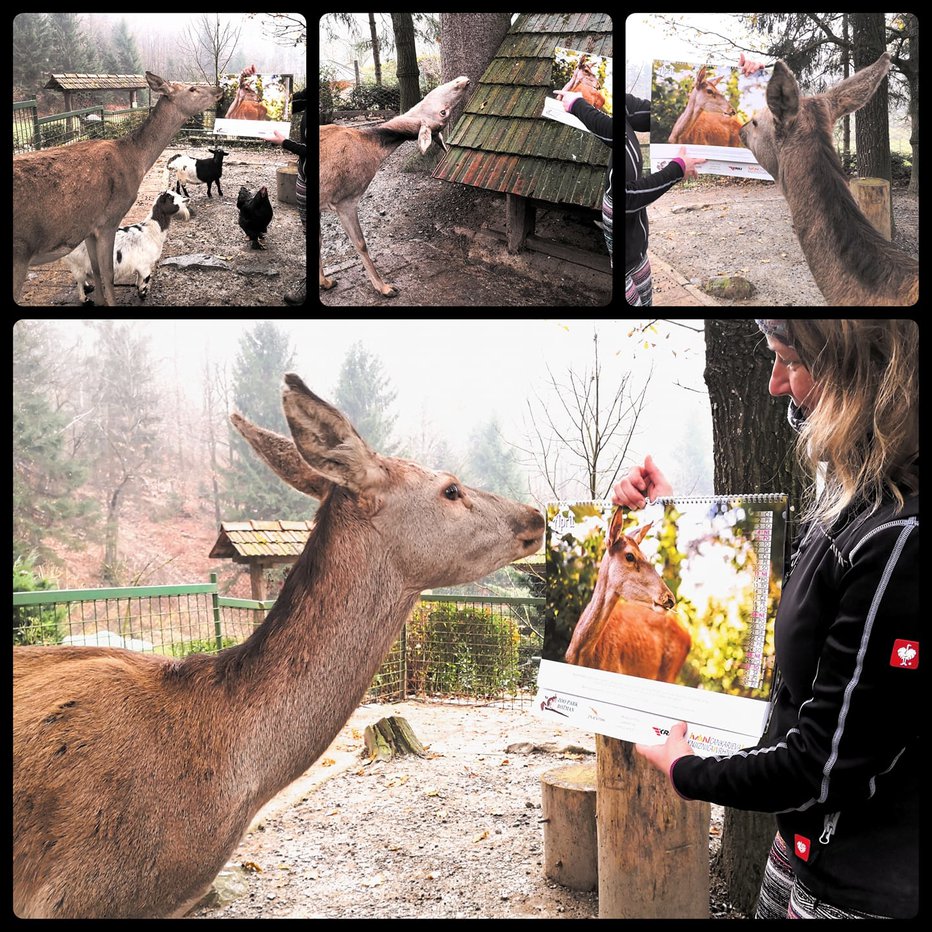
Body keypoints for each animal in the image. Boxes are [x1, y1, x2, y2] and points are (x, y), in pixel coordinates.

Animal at [62, 190, 191, 304]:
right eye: (170, 197)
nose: (186, 198)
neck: (151, 231)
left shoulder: (140, 265)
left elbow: (139, 279)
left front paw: (139, 289)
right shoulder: (145, 265)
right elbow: (146, 279)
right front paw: (142, 294)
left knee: (80, 279)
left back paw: (88, 288)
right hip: (77, 263)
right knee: (79, 281)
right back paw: (85, 299)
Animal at [322, 75, 474, 298]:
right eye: (443, 112)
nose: (464, 81)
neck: (370, 146)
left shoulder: (338, 200)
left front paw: (326, 282)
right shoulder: (345, 199)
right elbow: (361, 243)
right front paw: (385, 287)